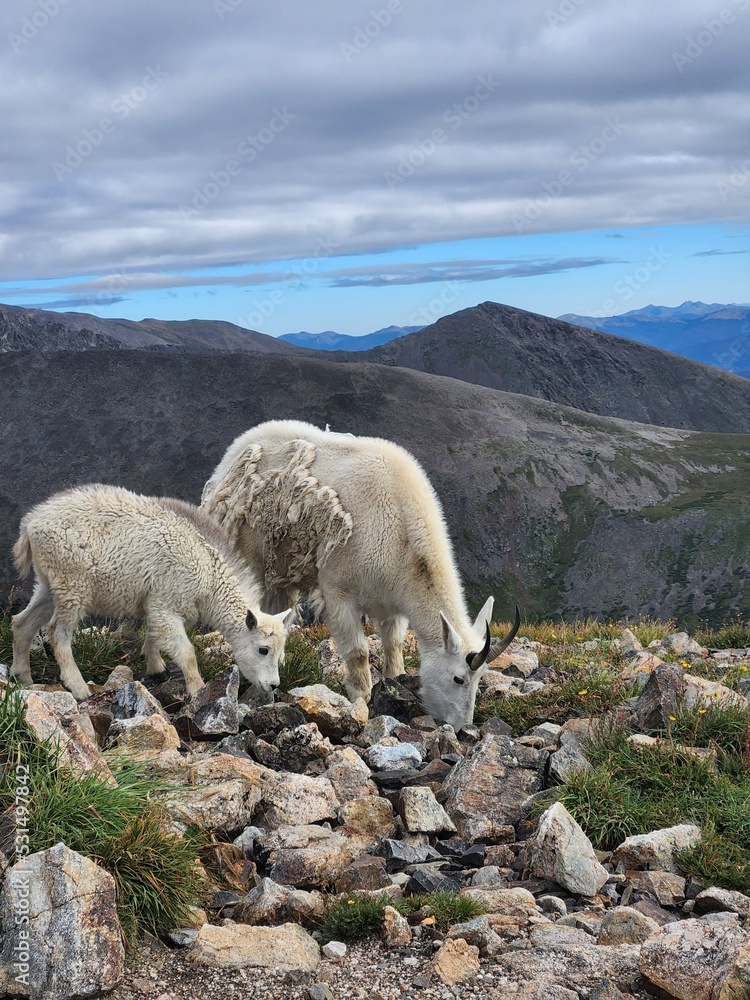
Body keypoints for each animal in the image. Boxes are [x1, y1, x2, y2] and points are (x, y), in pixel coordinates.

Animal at [11, 484, 293, 701]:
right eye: (263, 649)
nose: (273, 685)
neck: (210, 575)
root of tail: (30, 524)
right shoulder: (166, 602)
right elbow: (186, 652)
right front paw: (197, 689)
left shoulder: (157, 603)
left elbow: (155, 634)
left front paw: (156, 668)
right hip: (73, 583)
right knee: (57, 631)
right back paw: (78, 687)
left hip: (50, 582)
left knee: (22, 622)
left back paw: (23, 678)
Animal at [201, 420, 518, 731]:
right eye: (458, 678)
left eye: (480, 679)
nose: (463, 727)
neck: (404, 539)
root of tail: (232, 453)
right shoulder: (338, 591)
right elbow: (358, 651)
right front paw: (361, 696)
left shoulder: (393, 600)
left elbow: (393, 644)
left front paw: (393, 681)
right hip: (247, 551)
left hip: (282, 570)